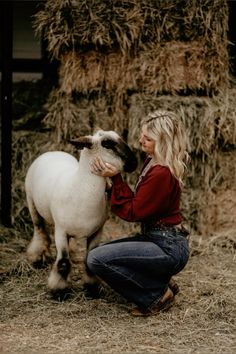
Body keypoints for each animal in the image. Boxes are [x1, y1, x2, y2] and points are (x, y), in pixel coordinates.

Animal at [25, 129, 137, 298]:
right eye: (107, 144)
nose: (134, 163)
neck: (81, 189)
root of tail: (53, 152)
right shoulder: (61, 231)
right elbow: (63, 263)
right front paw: (59, 292)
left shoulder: (97, 232)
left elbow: (88, 261)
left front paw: (91, 289)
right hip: (31, 202)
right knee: (39, 231)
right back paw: (36, 259)